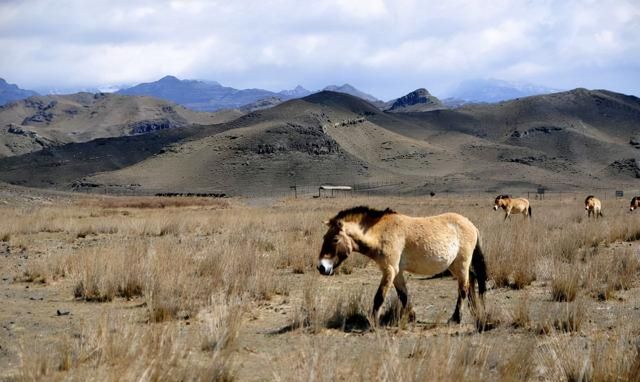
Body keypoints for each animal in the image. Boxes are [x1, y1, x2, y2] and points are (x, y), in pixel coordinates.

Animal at [318, 206, 488, 326]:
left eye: (334, 239)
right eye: (324, 237)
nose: (321, 267)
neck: (381, 233)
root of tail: (472, 225)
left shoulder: (389, 270)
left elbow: (379, 297)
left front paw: (372, 322)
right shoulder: (396, 272)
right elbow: (403, 295)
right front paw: (411, 317)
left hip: (461, 264)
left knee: (463, 289)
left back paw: (455, 319)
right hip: (454, 266)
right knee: (471, 282)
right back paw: (472, 312)